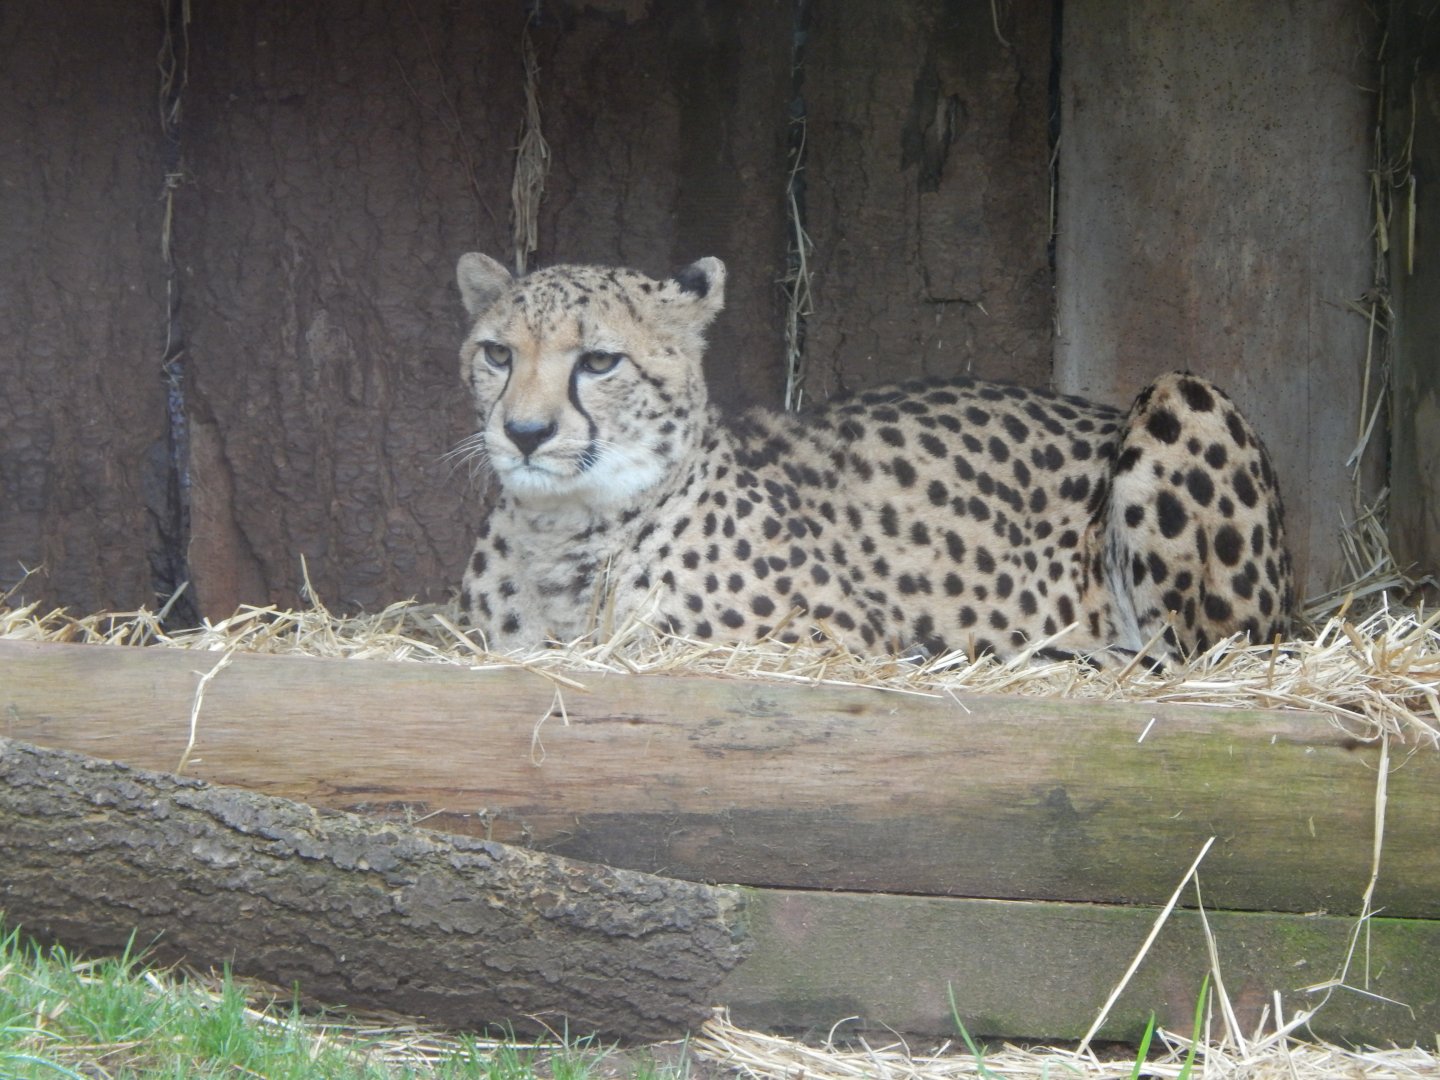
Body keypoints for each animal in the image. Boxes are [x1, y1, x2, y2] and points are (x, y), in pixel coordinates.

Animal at [453, 252, 1294, 664]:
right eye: (497, 353)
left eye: (599, 362)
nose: (524, 432)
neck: (565, 533)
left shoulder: (823, 641)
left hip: (1183, 396)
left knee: (1197, 654)